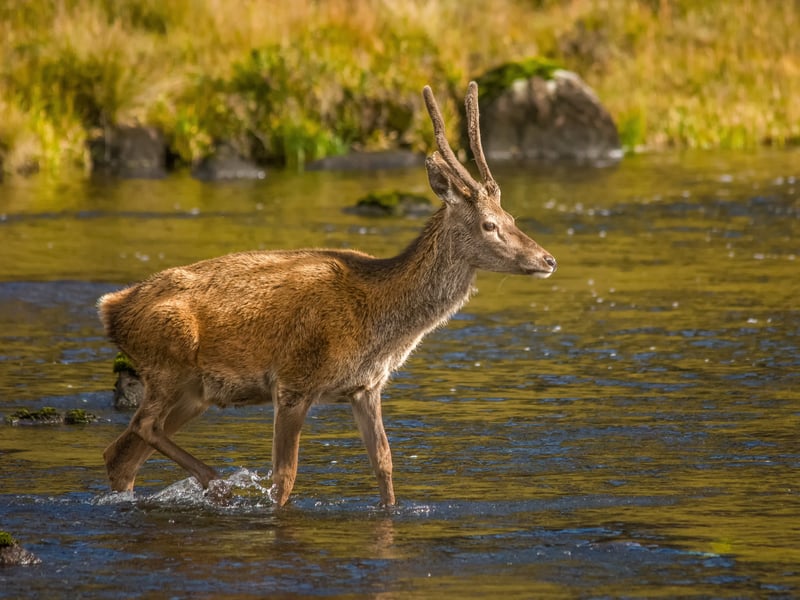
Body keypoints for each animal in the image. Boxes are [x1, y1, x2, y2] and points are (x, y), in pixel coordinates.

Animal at [98, 82, 557, 508]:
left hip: (195, 391)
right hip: (168, 361)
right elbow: (284, 478)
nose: (548, 259)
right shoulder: (294, 382)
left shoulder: (365, 387)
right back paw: (218, 483)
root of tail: (111, 309)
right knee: (143, 428)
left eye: (512, 218)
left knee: (120, 454)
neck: (380, 321)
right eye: (489, 225)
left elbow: (384, 464)